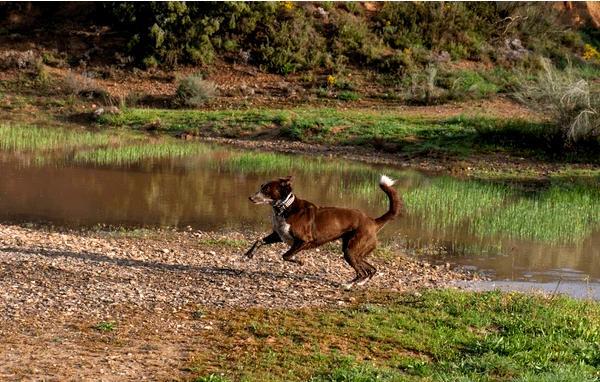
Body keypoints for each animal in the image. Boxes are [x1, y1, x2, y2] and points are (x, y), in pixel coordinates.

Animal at [244, 175, 404, 288]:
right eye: (261, 187)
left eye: (266, 189)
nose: (250, 198)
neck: (286, 207)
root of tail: (372, 221)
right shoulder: (278, 235)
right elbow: (259, 240)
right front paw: (249, 254)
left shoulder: (303, 240)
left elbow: (286, 255)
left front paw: (300, 261)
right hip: (355, 252)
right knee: (371, 269)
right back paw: (359, 283)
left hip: (351, 251)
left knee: (362, 271)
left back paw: (349, 285)